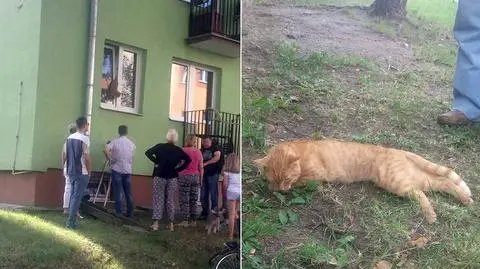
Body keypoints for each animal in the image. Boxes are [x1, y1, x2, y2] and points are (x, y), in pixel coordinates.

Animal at [255, 138, 472, 222]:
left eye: (286, 178)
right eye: (274, 179)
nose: (280, 190)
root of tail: (397, 150)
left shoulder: (315, 177)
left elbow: (300, 182)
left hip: (397, 182)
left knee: (421, 193)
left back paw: (430, 214)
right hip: (417, 179)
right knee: (444, 182)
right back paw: (465, 199)